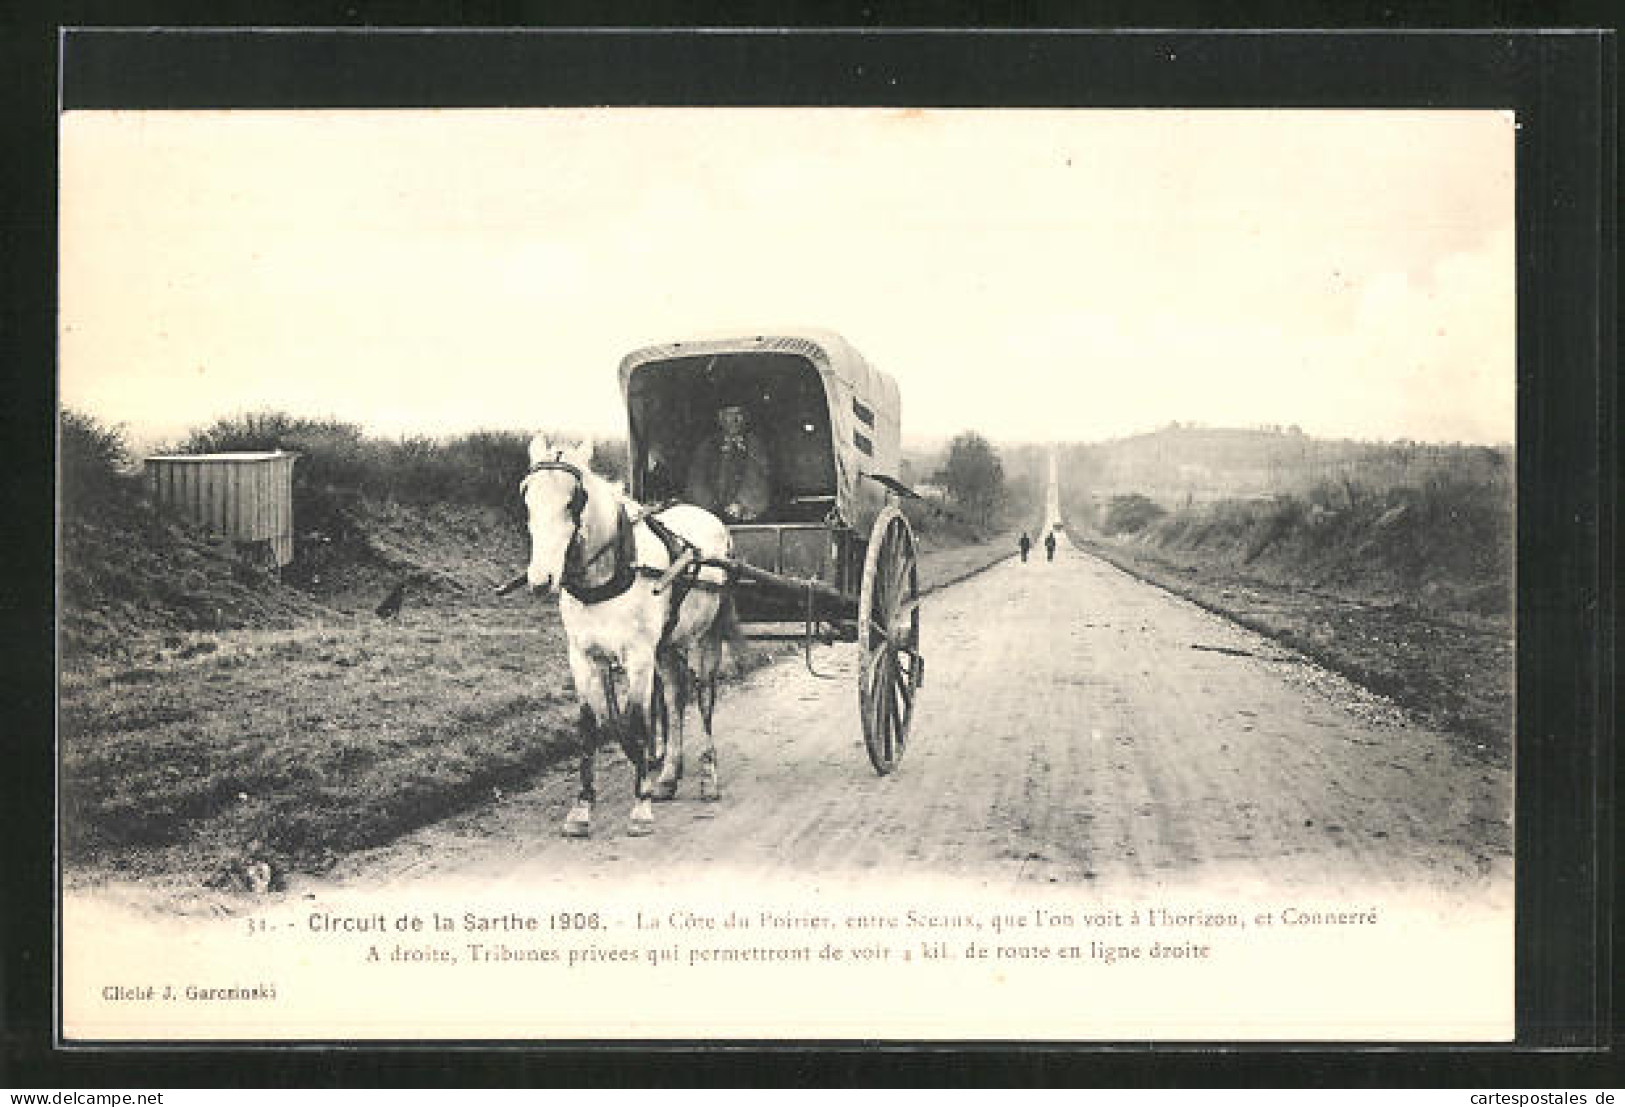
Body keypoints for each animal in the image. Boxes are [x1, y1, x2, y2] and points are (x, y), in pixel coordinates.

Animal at [520, 435, 737, 832]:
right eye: (527, 496)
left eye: (574, 500)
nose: (541, 580)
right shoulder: (583, 656)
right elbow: (588, 726)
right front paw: (583, 806)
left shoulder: (638, 656)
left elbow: (638, 723)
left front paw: (641, 804)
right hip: (665, 645)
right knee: (674, 697)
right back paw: (668, 776)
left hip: (704, 637)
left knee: (703, 699)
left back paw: (708, 778)